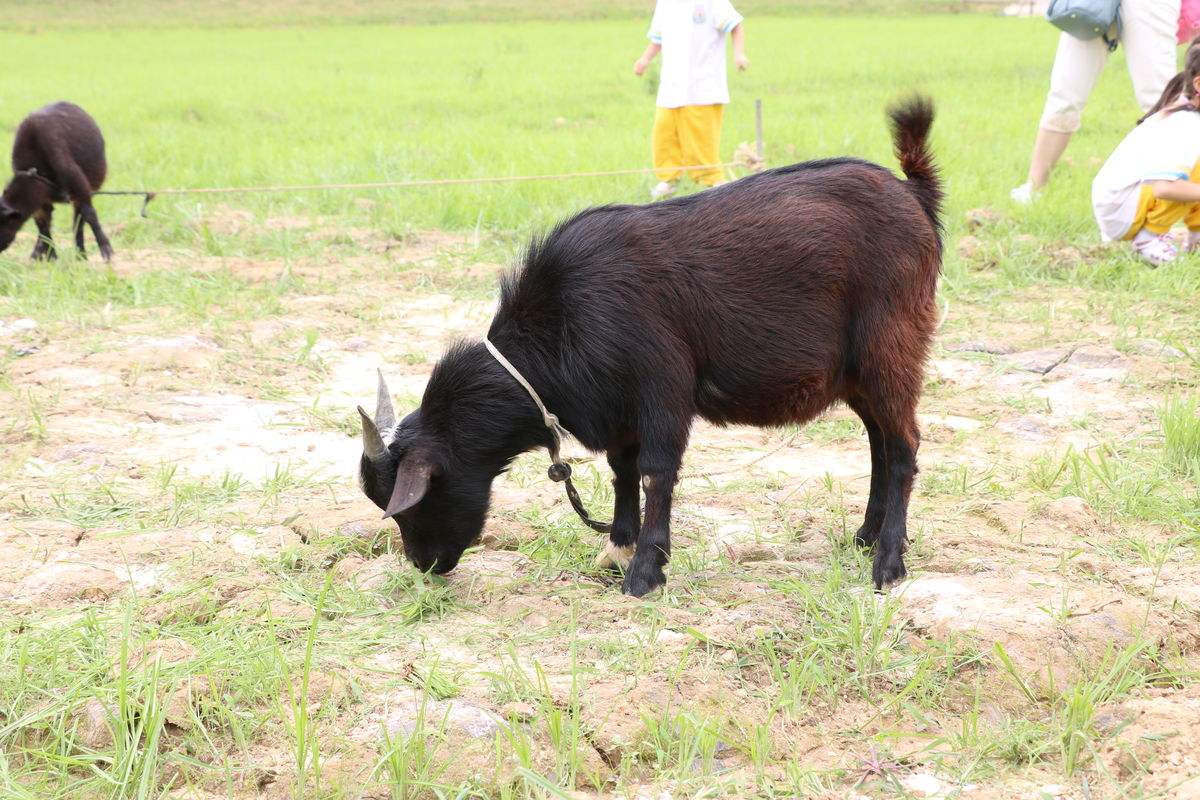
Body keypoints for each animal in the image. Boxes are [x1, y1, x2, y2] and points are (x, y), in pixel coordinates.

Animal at [0, 101, 113, 261]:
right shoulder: (41, 204)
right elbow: (43, 228)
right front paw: (51, 256)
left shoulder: (80, 188)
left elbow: (90, 215)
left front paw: (106, 249)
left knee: (78, 222)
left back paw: (80, 254)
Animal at [360, 97, 940, 597]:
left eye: (411, 502)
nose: (425, 565)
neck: (560, 321)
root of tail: (915, 196)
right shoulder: (616, 407)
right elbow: (622, 471)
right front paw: (617, 549)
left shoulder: (662, 388)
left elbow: (655, 471)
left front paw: (645, 573)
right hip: (859, 371)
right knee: (880, 441)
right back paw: (865, 535)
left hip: (892, 346)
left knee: (904, 446)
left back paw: (888, 563)